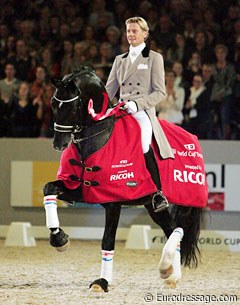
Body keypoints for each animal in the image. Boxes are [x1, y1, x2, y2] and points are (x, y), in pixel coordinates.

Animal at [43, 65, 204, 290]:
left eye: (73, 108)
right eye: (52, 104)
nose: (59, 144)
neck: (99, 139)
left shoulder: (113, 202)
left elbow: (108, 239)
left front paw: (102, 282)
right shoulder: (79, 189)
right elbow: (48, 189)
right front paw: (59, 239)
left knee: (177, 229)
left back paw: (168, 271)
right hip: (151, 205)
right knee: (172, 228)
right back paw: (171, 275)